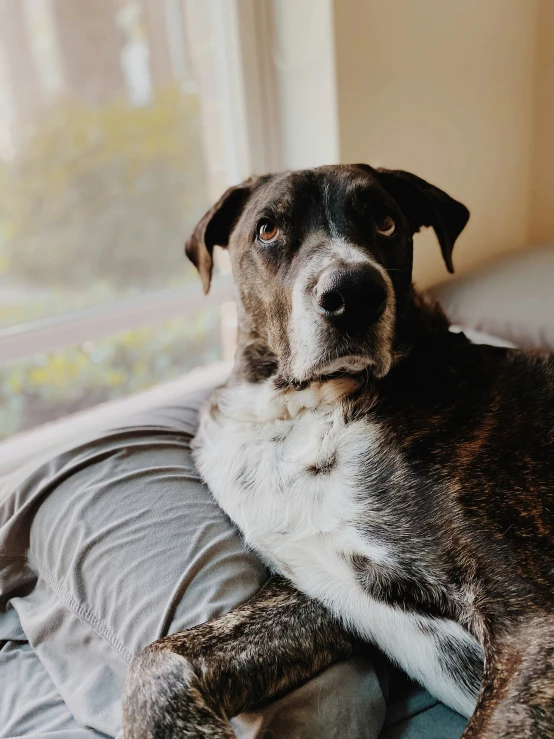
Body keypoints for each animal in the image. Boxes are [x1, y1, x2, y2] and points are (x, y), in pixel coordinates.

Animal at [122, 165, 552, 736]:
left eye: (386, 221)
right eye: (267, 230)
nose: (354, 293)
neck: (304, 409)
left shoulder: (530, 619)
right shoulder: (320, 591)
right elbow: (157, 657)